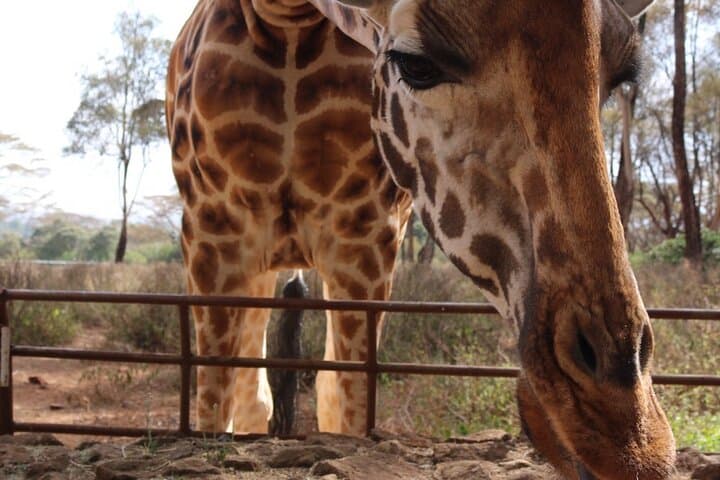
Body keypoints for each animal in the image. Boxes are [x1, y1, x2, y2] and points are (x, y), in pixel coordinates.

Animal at [166, 0, 676, 479]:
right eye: (416, 65)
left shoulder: (365, 241)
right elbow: (214, 408)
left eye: (619, 76)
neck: (289, 23)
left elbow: (345, 407)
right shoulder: (213, 234)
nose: (627, 438)